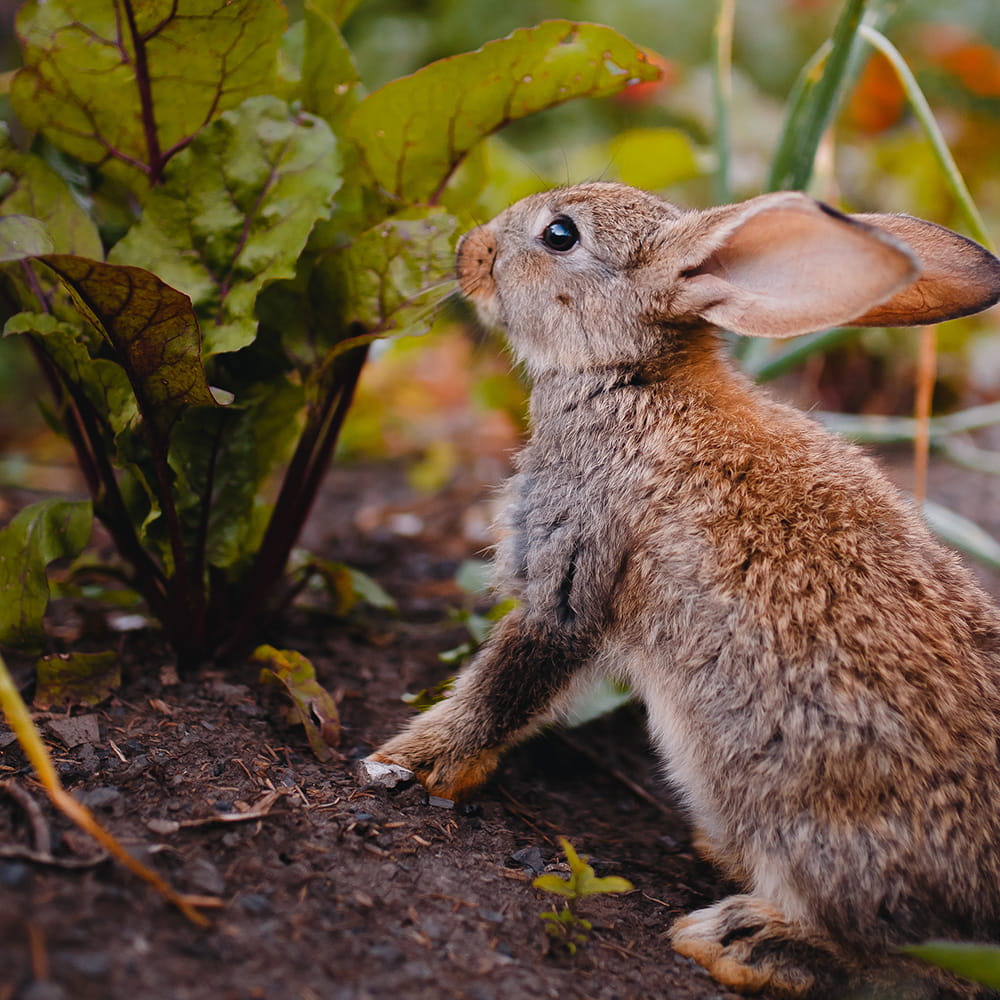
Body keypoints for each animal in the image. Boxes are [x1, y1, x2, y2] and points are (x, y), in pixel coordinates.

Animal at [362, 181, 1000, 997]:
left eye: (560, 235)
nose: (469, 250)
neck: (632, 373)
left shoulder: (569, 571)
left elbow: (506, 683)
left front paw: (411, 761)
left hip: (802, 820)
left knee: (895, 956)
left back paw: (740, 940)